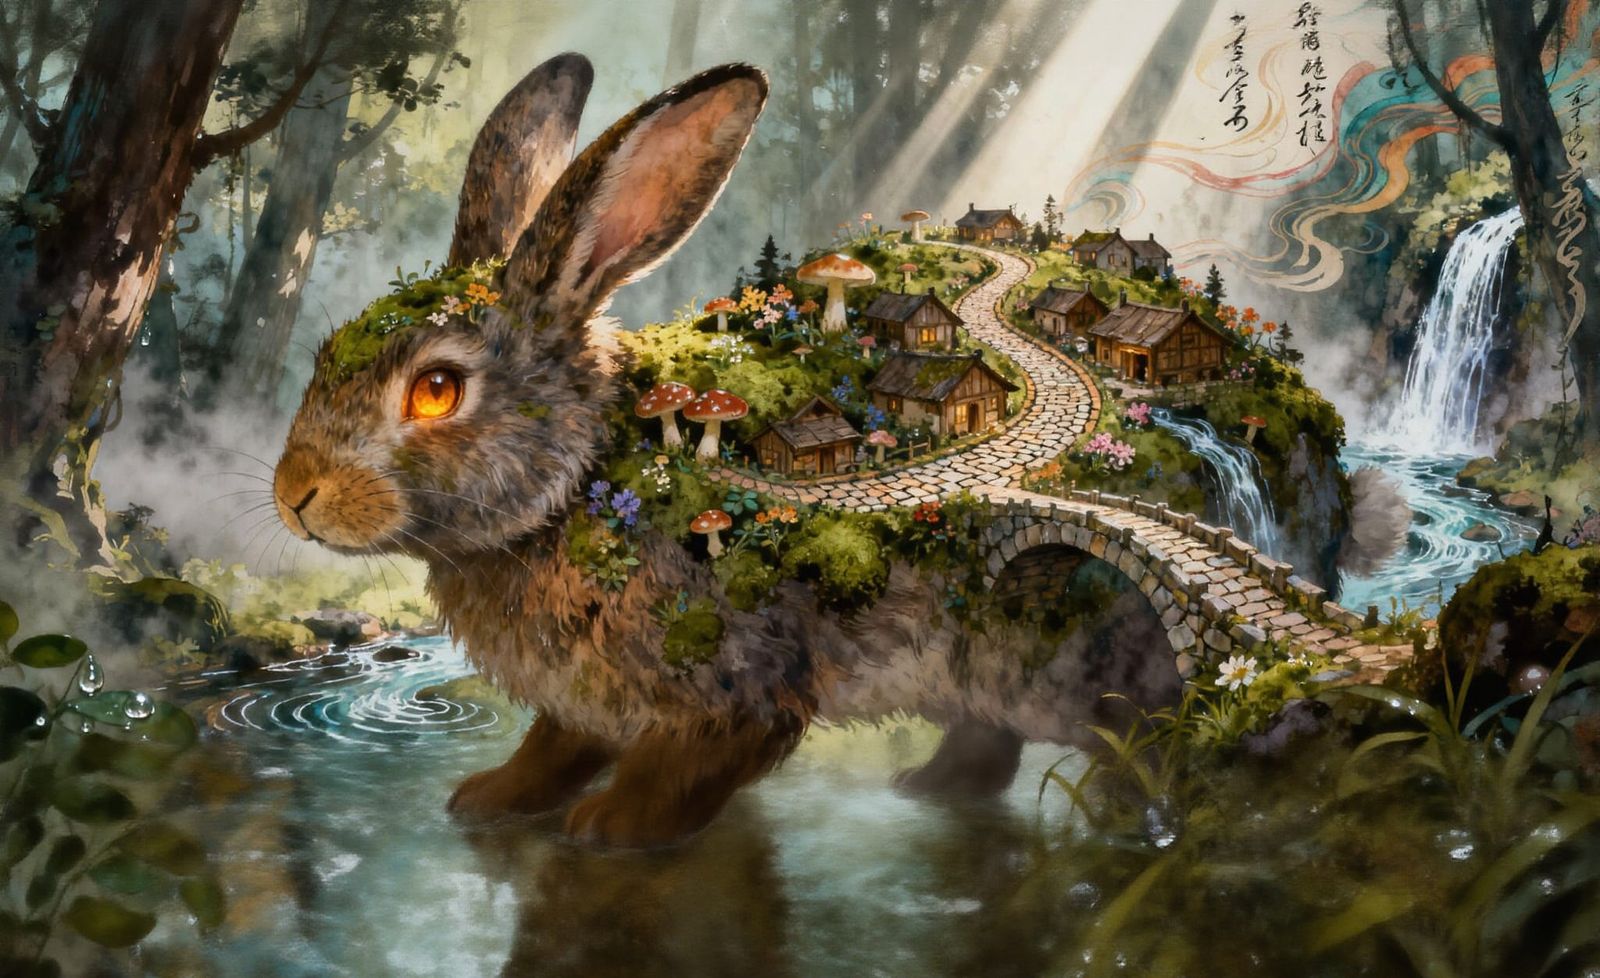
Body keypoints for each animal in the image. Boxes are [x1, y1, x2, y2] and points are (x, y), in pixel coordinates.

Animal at [272, 54, 1176, 848]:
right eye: (328, 352)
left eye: (436, 389)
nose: (294, 495)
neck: (578, 487)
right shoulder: (585, 701)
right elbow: (555, 748)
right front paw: (491, 798)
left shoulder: (740, 674)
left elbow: (690, 761)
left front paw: (613, 825)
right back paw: (930, 784)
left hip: (1048, 658)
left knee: (1136, 739)